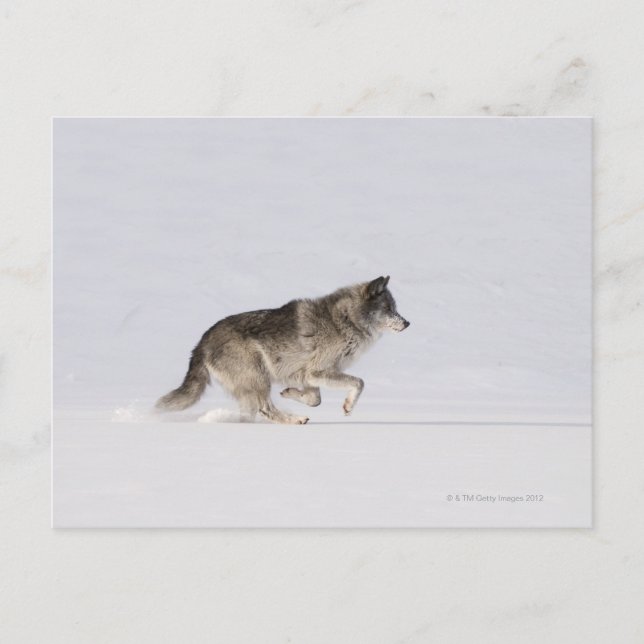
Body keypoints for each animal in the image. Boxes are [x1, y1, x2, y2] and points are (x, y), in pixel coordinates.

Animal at [156, 276, 409, 424]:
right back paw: (296, 420)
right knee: (265, 408)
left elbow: (314, 399)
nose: (407, 323)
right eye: (389, 309)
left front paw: (289, 393)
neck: (345, 320)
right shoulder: (318, 371)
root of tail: (201, 342)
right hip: (259, 378)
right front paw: (348, 406)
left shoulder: (308, 376)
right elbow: (359, 383)